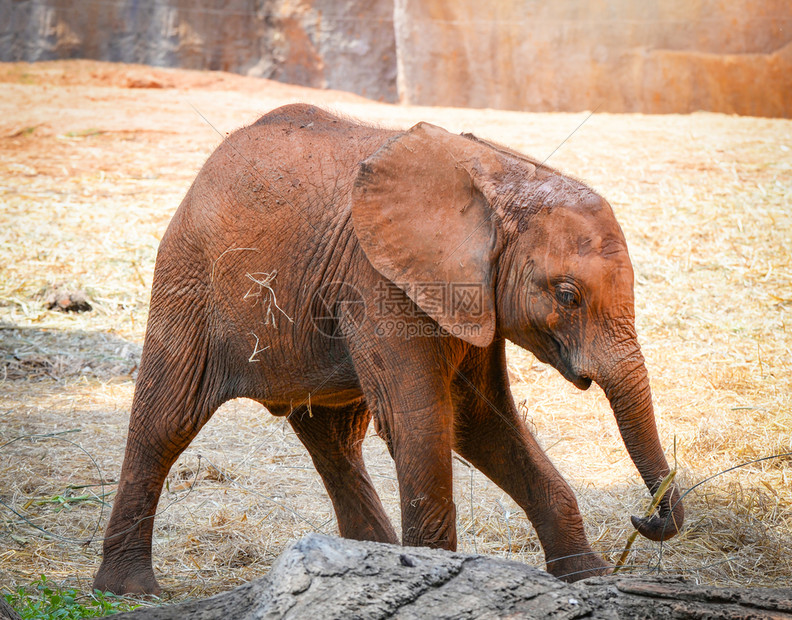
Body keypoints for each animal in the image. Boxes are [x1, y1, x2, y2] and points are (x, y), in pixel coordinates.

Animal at [96, 104, 684, 592]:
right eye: (567, 295)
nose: (645, 516)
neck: (504, 180)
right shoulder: (379, 281)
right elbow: (421, 425)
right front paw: (434, 578)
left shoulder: (468, 296)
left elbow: (482, 422)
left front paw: (590, 579)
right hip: (190, 279)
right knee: (164, 422)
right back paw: (130, 590)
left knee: (333, 441)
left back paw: (363, 563)